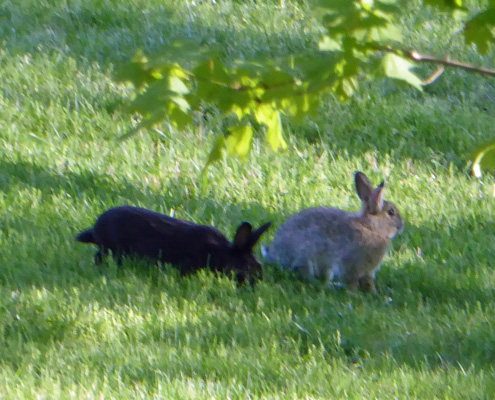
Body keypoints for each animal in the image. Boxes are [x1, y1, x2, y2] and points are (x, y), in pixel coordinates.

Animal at [262, 170, 404, 292]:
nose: (402, 226)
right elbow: (352, 281)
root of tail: (272, 253)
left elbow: (369, 282)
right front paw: (353, 294)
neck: (371, 228)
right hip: (305, 256)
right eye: (391, 212)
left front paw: (373, 293)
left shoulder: (368, 272)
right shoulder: (352, 266)